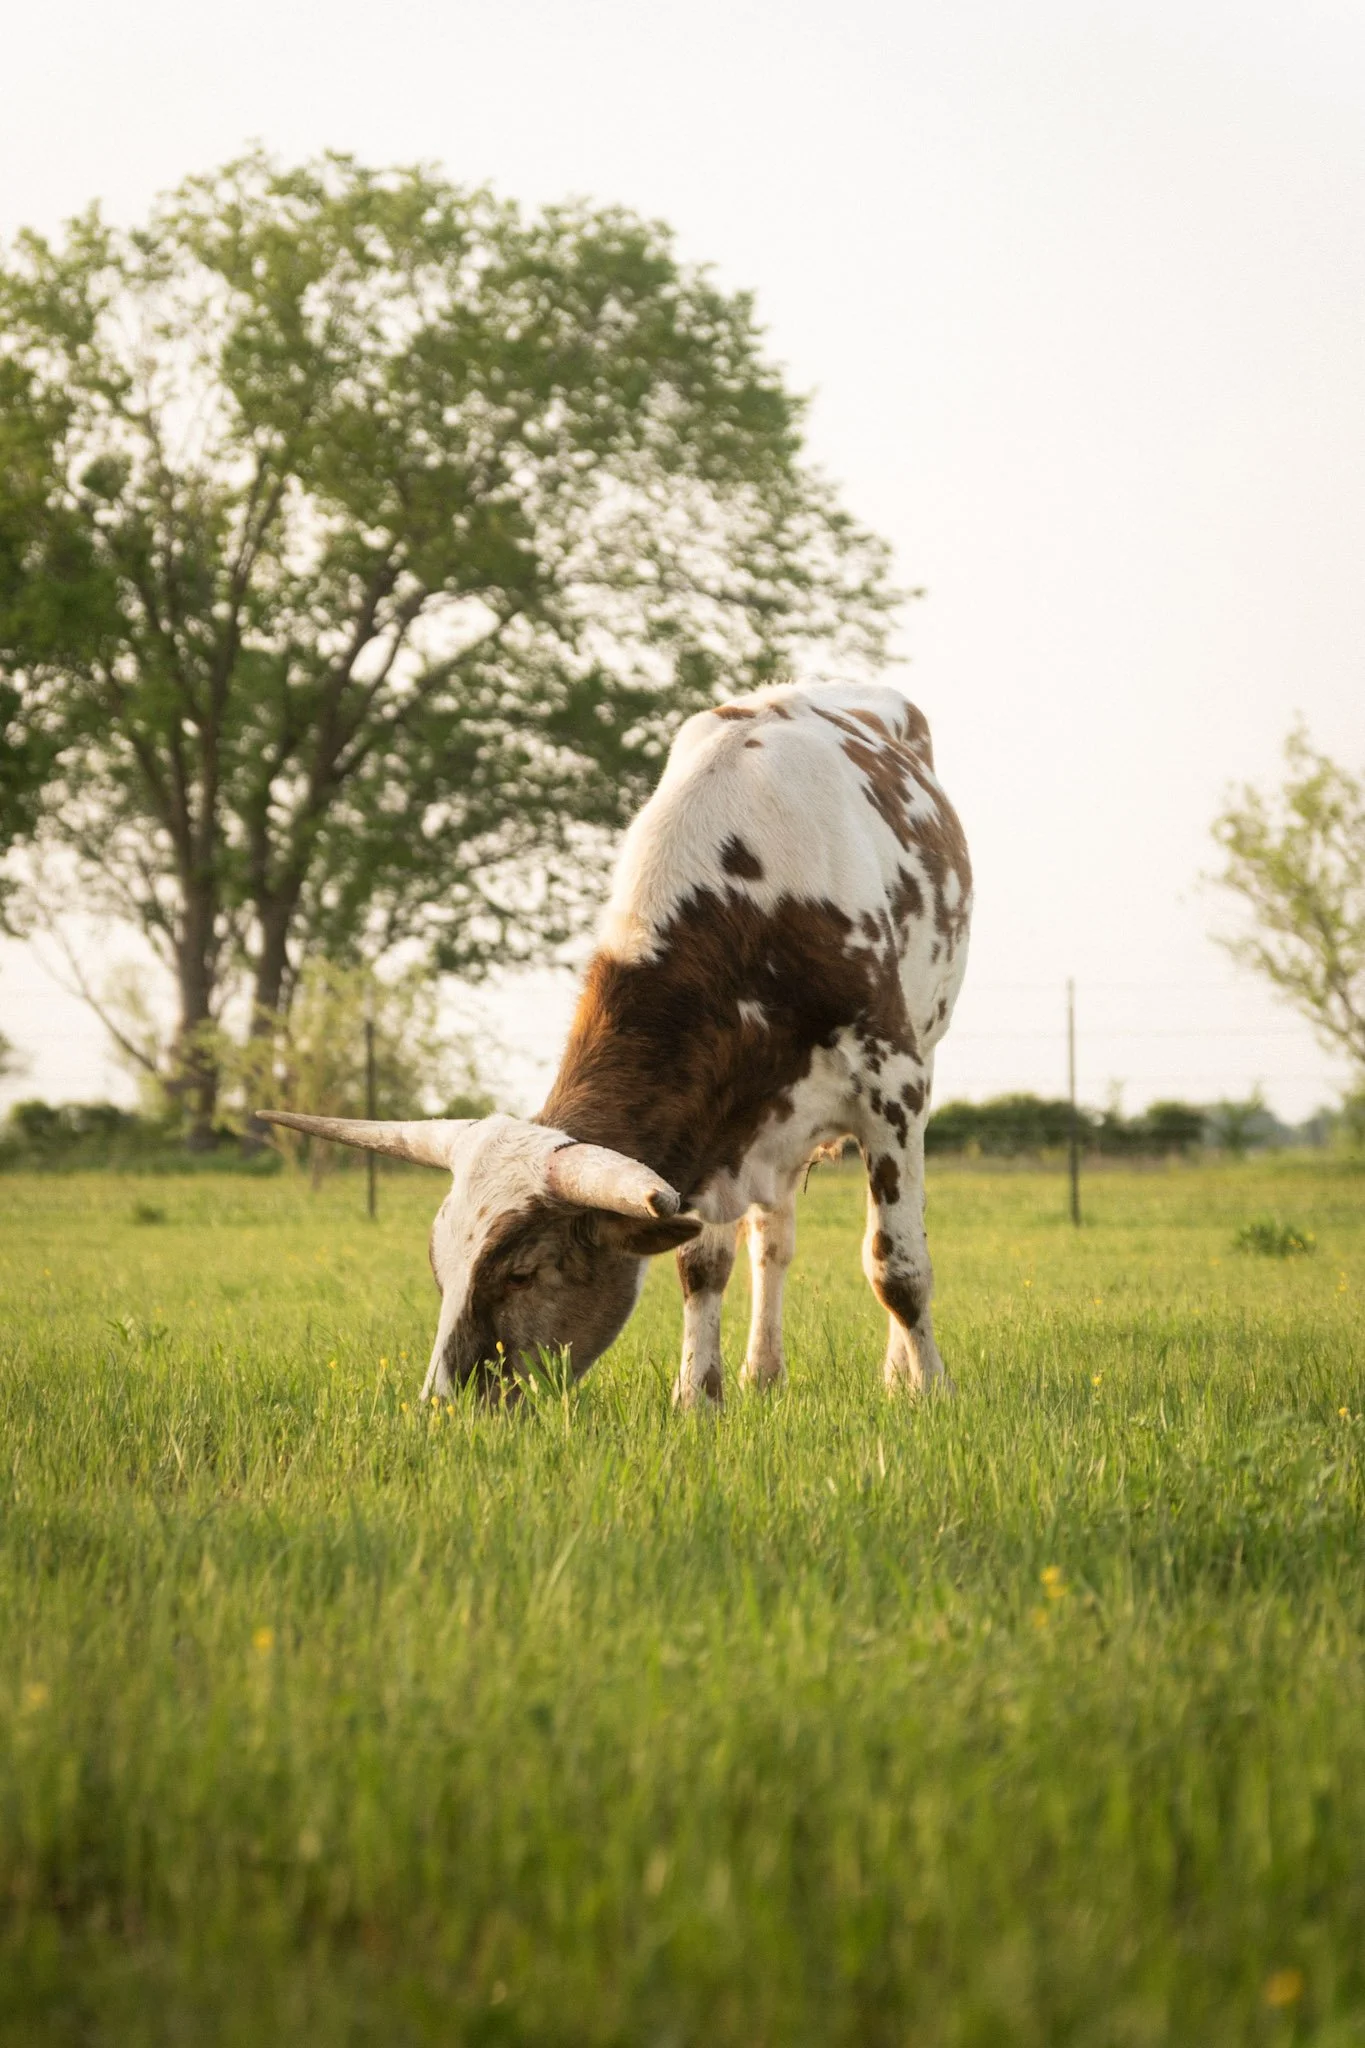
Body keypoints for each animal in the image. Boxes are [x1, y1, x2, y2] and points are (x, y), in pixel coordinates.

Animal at [260, 680, 972, 1409]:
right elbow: (702, 1264)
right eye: (440, 1267)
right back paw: (762, 1371)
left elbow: (896, 1266)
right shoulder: (715, 1134)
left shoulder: (893, 1090)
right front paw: (697, 1397)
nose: (444, 1408)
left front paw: (932, 1392)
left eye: (523, 1272)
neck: (757, 899)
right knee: (770, 1242)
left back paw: (896, 1373)